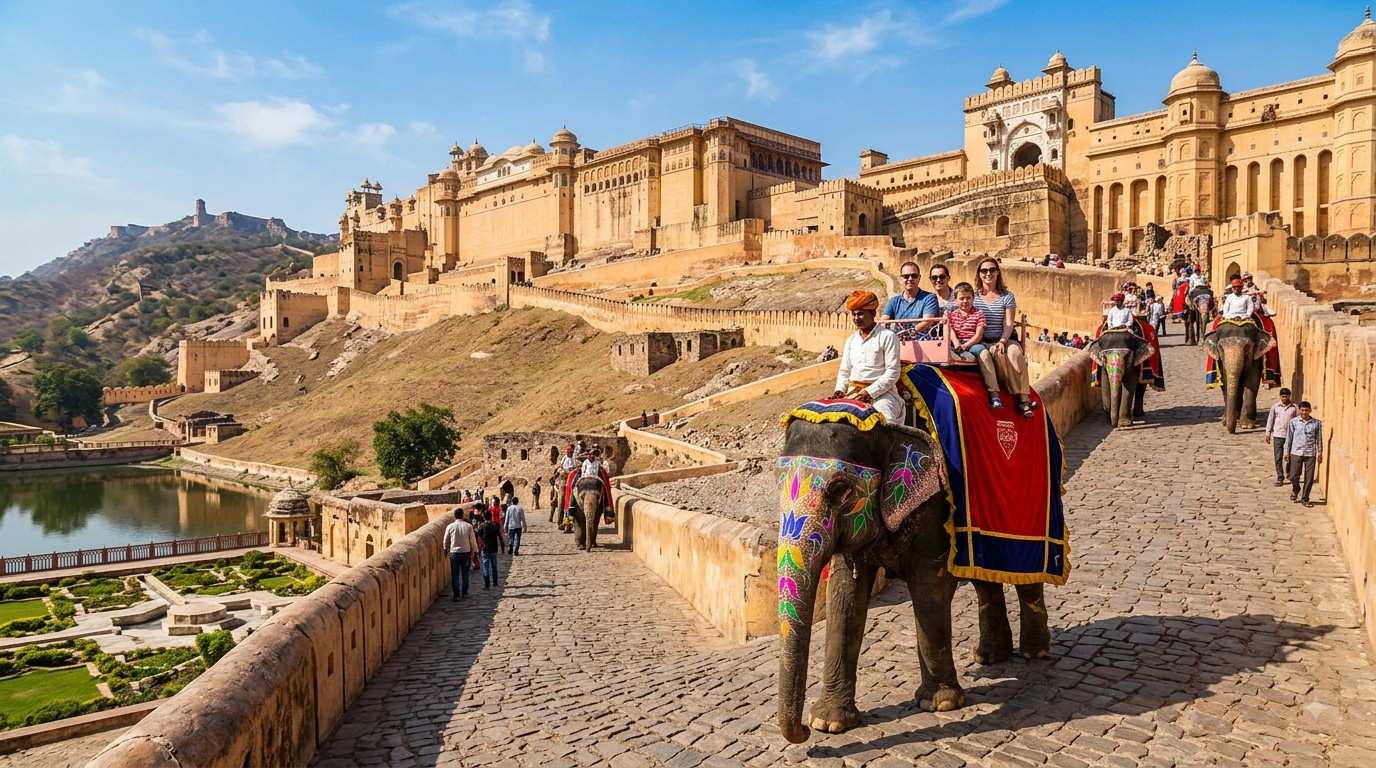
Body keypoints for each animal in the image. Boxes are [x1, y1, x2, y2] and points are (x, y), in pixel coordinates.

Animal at [775, 418, 1051, 744]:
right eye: (777, 481)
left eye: (839, 488)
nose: (803, 732)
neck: (887, 431)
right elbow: (844, 596)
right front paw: (828, 723)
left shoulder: (935, 505)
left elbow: (929, 589)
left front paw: (940, 704)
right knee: (984, 580)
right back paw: (990, 656)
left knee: (1026, 577)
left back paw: (1034, 652)